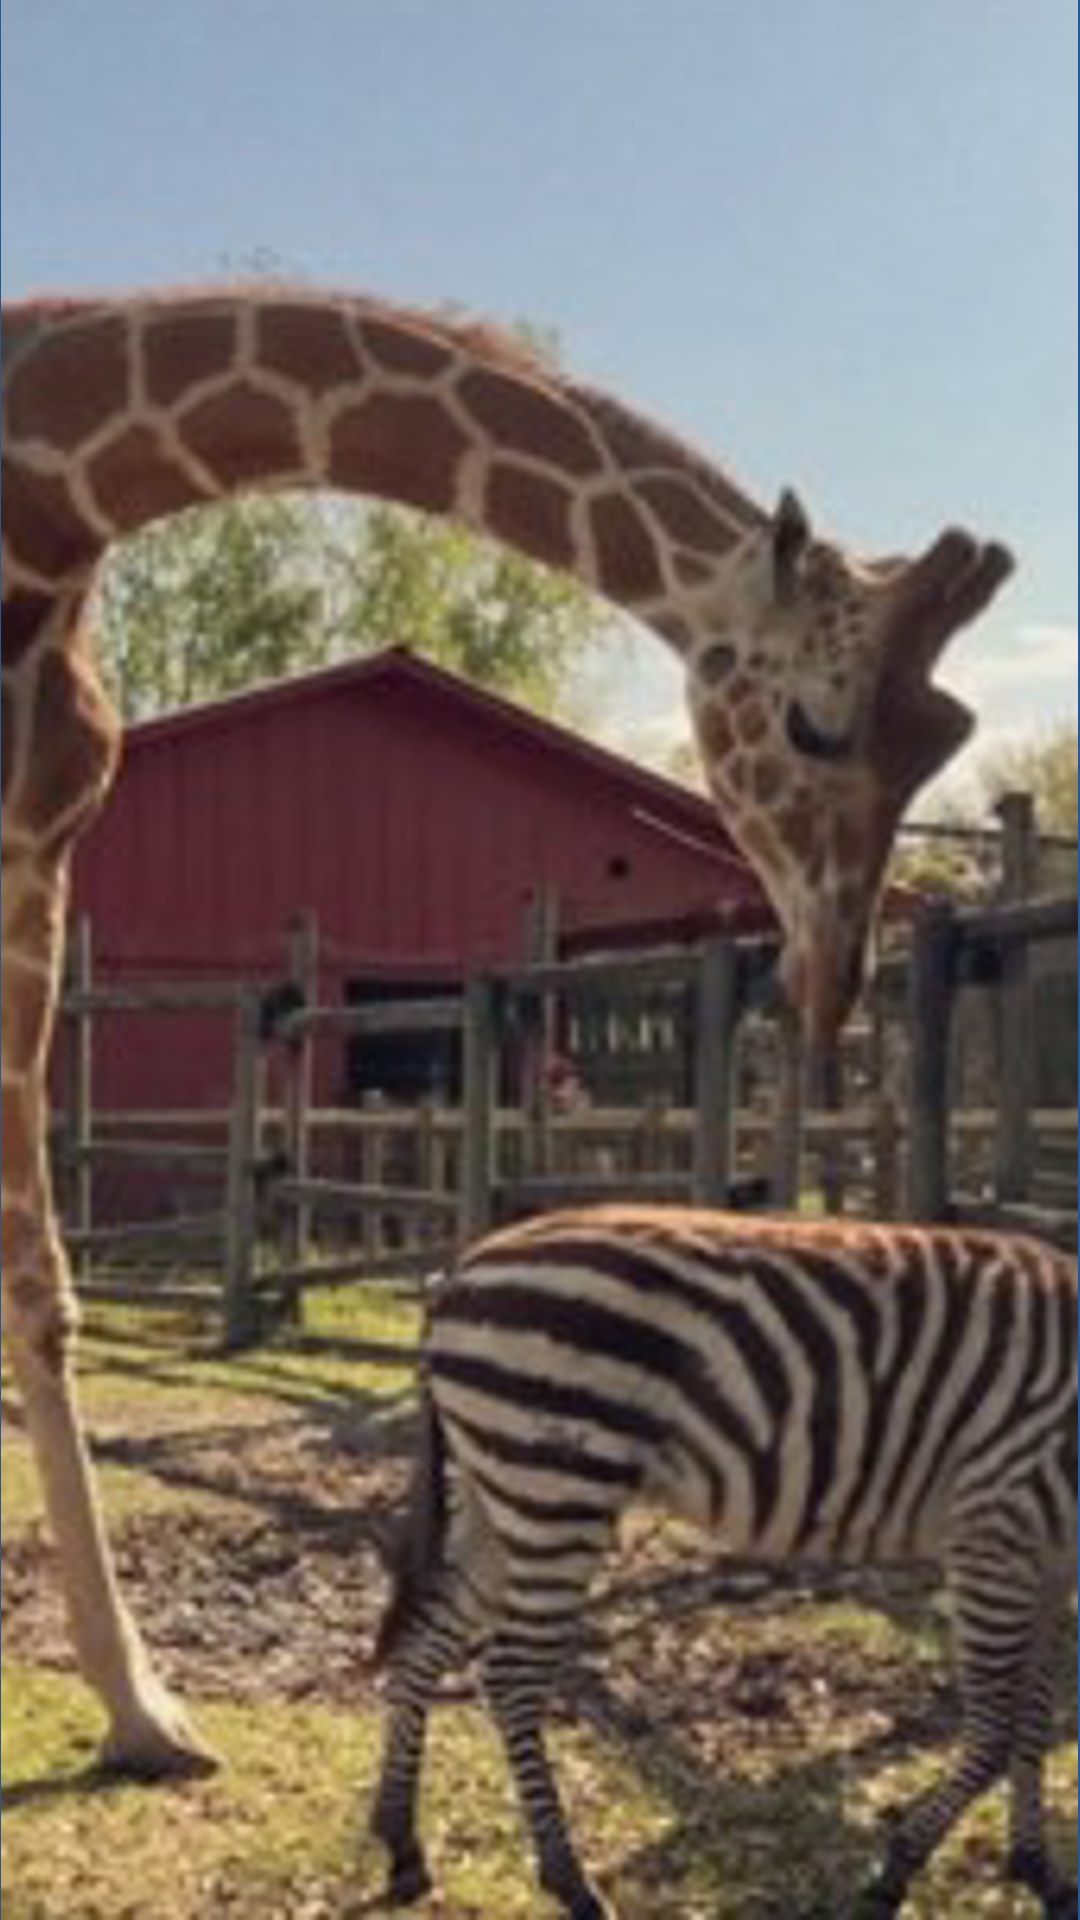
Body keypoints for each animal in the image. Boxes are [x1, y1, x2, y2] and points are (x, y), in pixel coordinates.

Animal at [1, 286, 1013, 1775]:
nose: (834, 973)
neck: (56, 487)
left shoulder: (40, 843)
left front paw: (143, 1707)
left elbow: (43, 1282)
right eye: (816, 724)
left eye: (944, 736)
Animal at [369, 1205, 1077, 1918]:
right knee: (511, 1678)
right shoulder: (995, 1530)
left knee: (426, 1642)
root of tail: (466, 1265)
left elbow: (1035, 1719)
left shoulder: (1053, 1567)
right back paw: (569, 1879)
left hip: (502, 1496)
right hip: (556, 1484)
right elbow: (995, 1733)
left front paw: (1037, 1867)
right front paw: (895, 1869)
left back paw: (401, 1841)